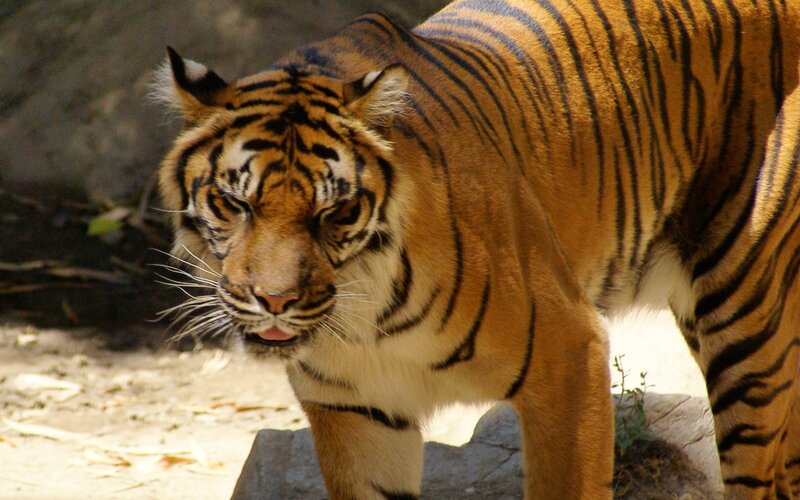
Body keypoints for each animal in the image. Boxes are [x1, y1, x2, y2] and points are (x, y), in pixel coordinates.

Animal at [154, 0, 800, 497]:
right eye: (235, 204)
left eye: (334, 212)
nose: (275, 300)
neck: (366, 321)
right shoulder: (358, 412)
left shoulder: (570, 356)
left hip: (744, 317)